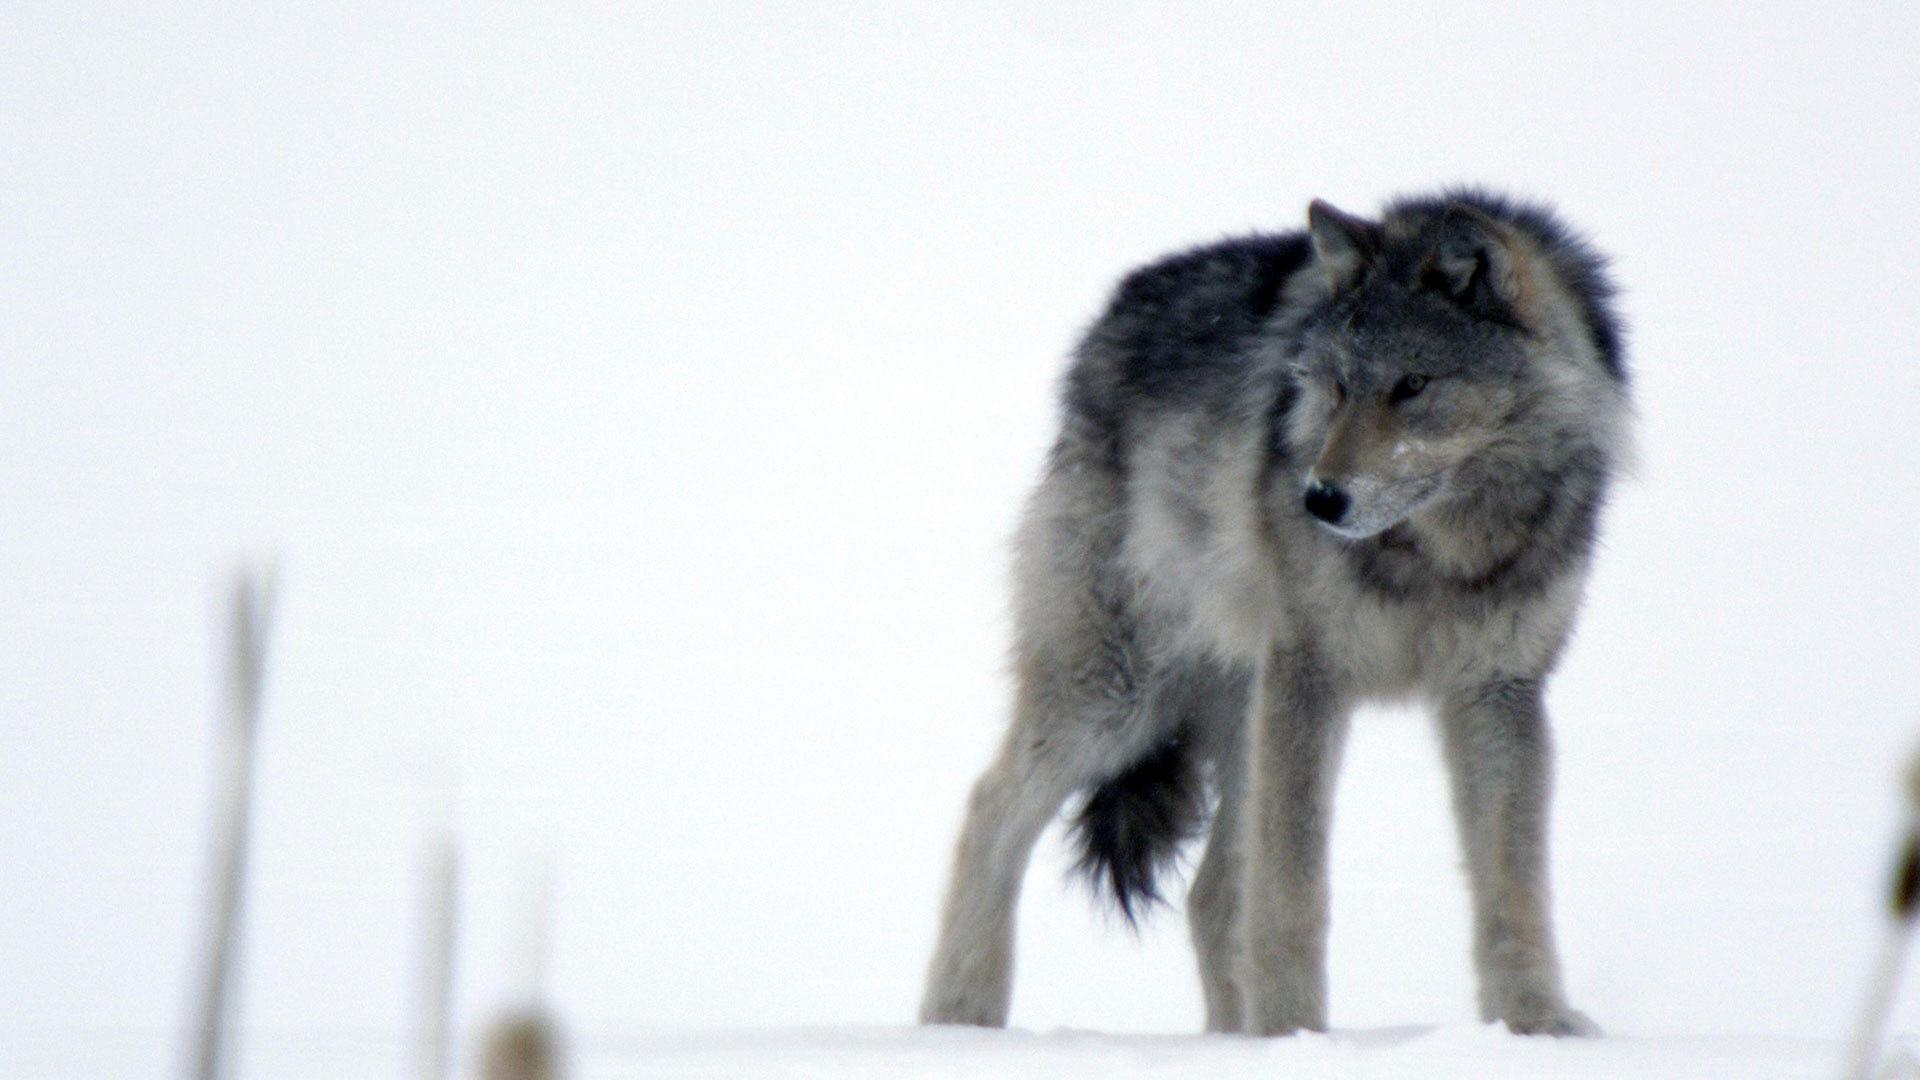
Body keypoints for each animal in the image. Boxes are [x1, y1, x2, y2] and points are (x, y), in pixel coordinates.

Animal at [918, 189, 1626, 1037]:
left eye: (1413, 385)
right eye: (1337, 386)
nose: (1318, 499)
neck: (1440, 555)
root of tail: (1103, 327)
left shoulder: (1499, 693)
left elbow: (1512, 887)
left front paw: (1535, 1025)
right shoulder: (1309, 675)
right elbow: (1292, 890)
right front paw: (1296, 1032)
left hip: (1231, 716)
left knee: (1211, 895)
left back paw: (1231, 1042)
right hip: (1120, 700)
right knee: (991, 810)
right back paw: (960, 1017)